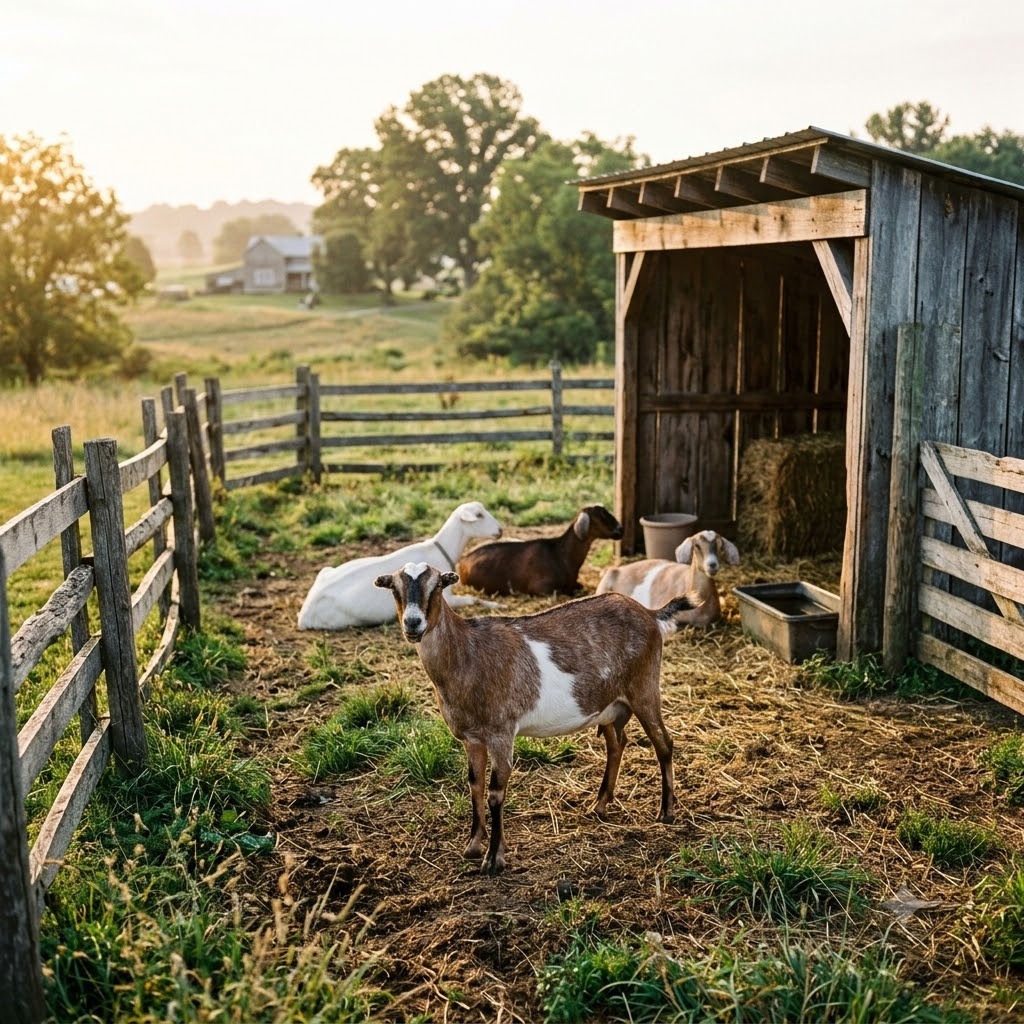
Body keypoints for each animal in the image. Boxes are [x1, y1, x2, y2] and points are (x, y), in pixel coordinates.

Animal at [297, 502, 502, 630]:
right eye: (479, 515)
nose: (500, 531)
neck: (438, 549)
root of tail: (303, 614)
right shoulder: (446, 598)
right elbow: (472, 599)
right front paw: (495, 604)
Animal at [375, 561, 696, 872]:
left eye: (437, 586)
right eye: (394, 589)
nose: (413, 623)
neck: (468, 654)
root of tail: (650, 613)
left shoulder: (501, 733)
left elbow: (495, 792)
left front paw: (494, 859)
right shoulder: (471, 738)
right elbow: (474, 784)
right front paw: (473, 846)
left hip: (644, 688)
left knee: (663, 742)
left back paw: (666, 811)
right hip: (610, 704)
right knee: (617, 743)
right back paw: (600, 805)